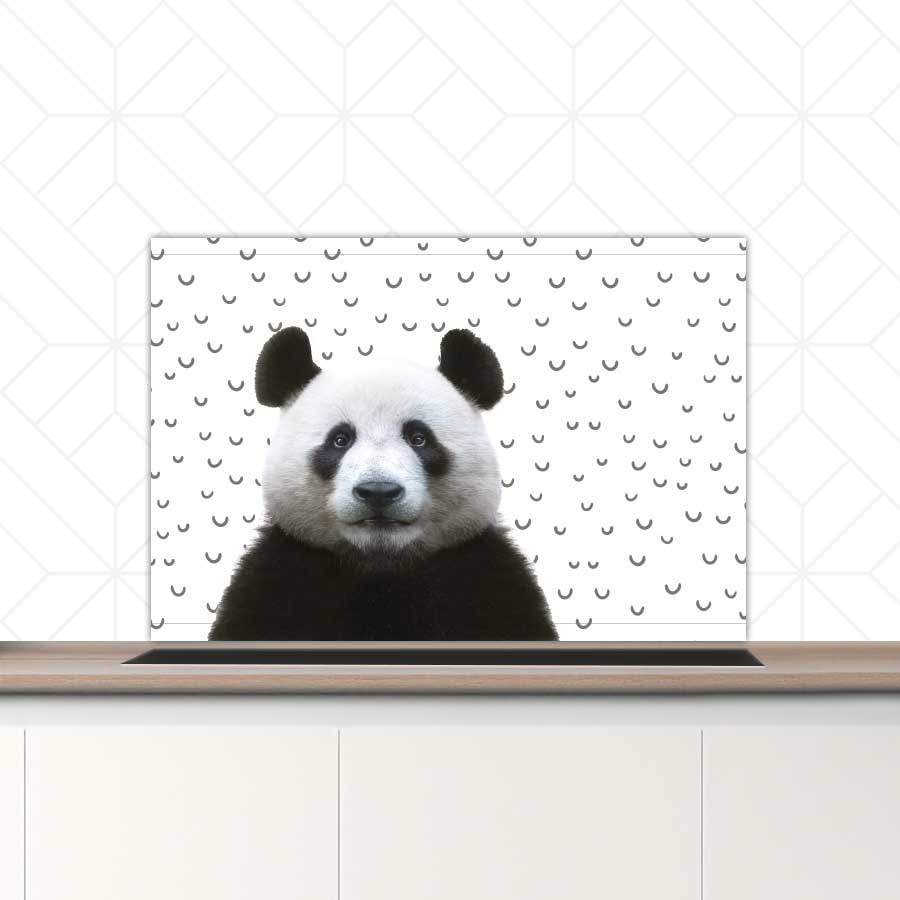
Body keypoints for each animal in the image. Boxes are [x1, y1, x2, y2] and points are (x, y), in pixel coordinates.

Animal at [209, 325, 558, 641]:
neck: (381, 566)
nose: (378, 492)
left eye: (419, 438)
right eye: (340, 439)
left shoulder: (485, 579)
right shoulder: (278, 578)